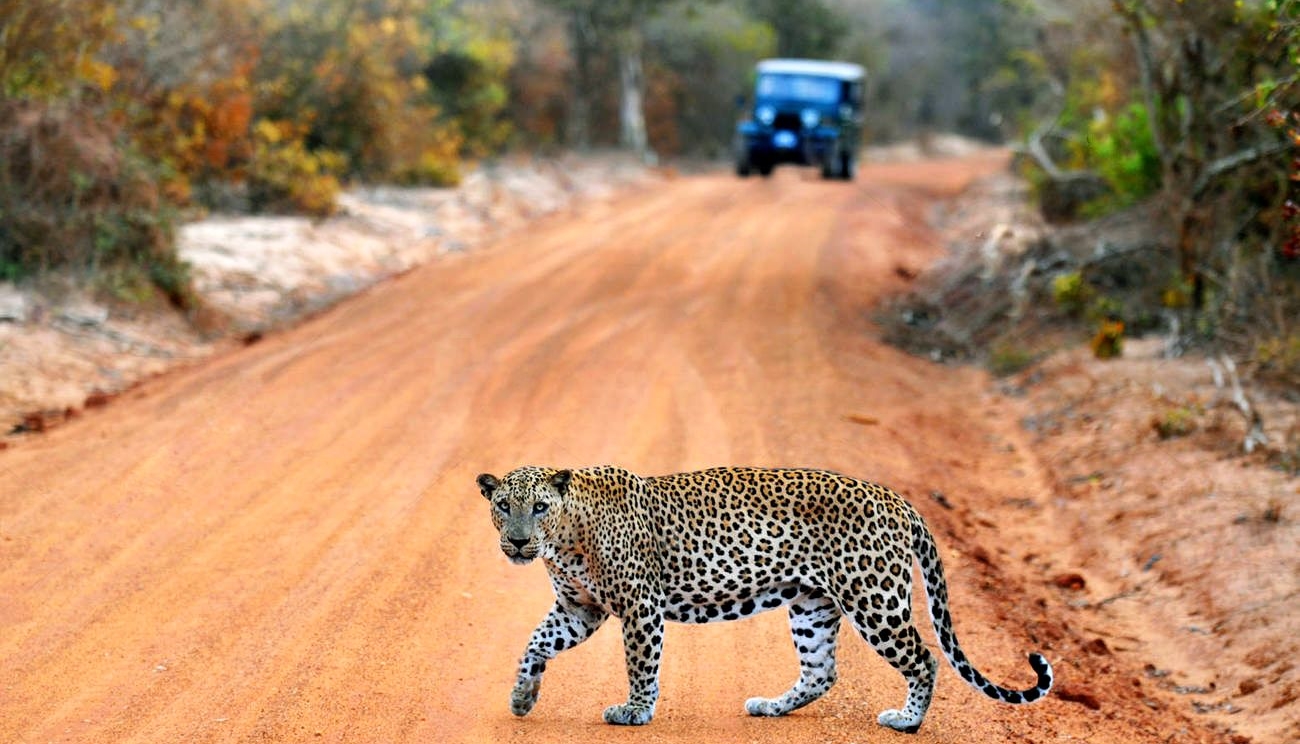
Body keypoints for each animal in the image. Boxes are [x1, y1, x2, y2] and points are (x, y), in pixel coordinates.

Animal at [480, 465, 1055, 728]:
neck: (565, 538)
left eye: (538, 507)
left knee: (924, 657)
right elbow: (535, 643)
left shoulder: (640, 607)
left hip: (875, 598)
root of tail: (899, 500)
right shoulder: (579, 609)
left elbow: (640, 663)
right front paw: (522, 696)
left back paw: (907, 721)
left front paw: (635, 711)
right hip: (812, 605)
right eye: (504, 505)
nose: (518, 541)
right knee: (822, 672)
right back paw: (772, 706)